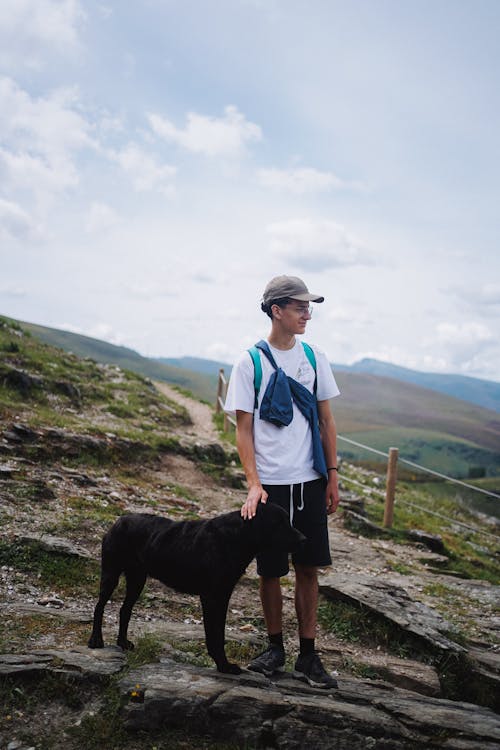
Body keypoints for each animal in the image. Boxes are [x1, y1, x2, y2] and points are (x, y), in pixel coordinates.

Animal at [87, 506, 302, 676]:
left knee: (125, 610)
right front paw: (223, 666)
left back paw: (123, 642)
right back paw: (96, 640)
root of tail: (119, 520)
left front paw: (222, 664)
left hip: (137, 580)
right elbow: (214, 636)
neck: (236, 537)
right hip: (111, 574)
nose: (304, 538)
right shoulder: (211, 597)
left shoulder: (223, 595)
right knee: (99, 607)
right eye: (279, 523)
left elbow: (219, 633)